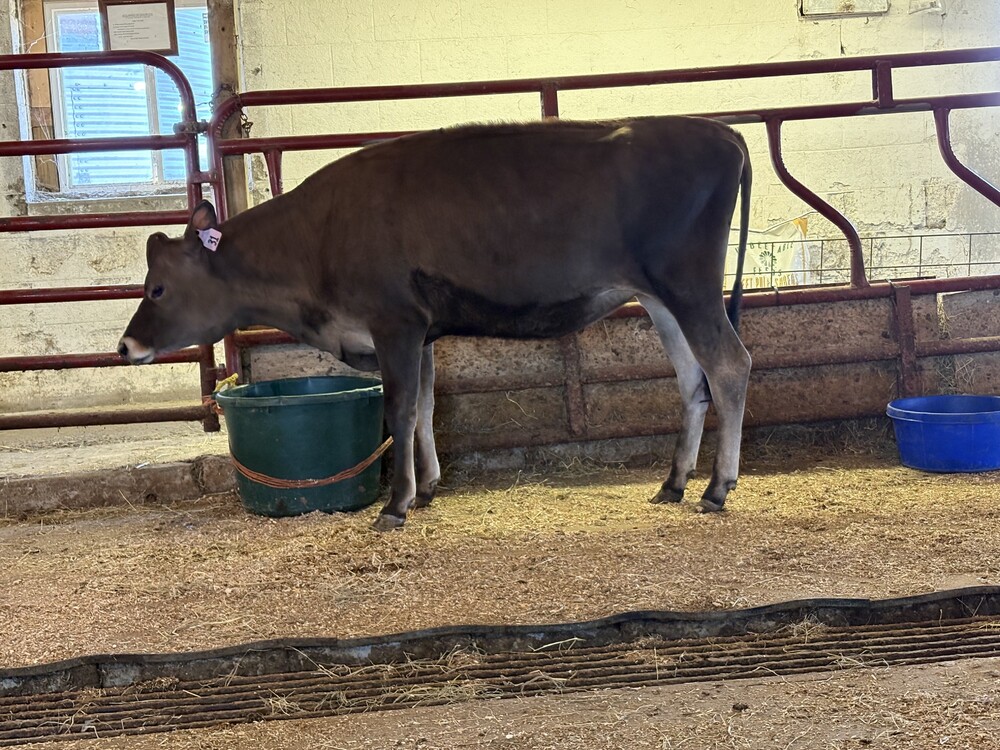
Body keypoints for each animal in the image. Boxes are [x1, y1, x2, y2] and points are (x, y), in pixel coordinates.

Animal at [119, 116, 752, 532]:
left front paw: (395, 505)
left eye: (157, 287)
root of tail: (721, 131)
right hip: (659, 298)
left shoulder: (393, 322)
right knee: (692, 381)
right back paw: (673, 483)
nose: (125, 345)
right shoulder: (420, 333)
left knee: (730, 365)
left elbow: (398, 410)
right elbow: (424, 407)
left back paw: (717, 488)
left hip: (689, 286)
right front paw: (426, 490)